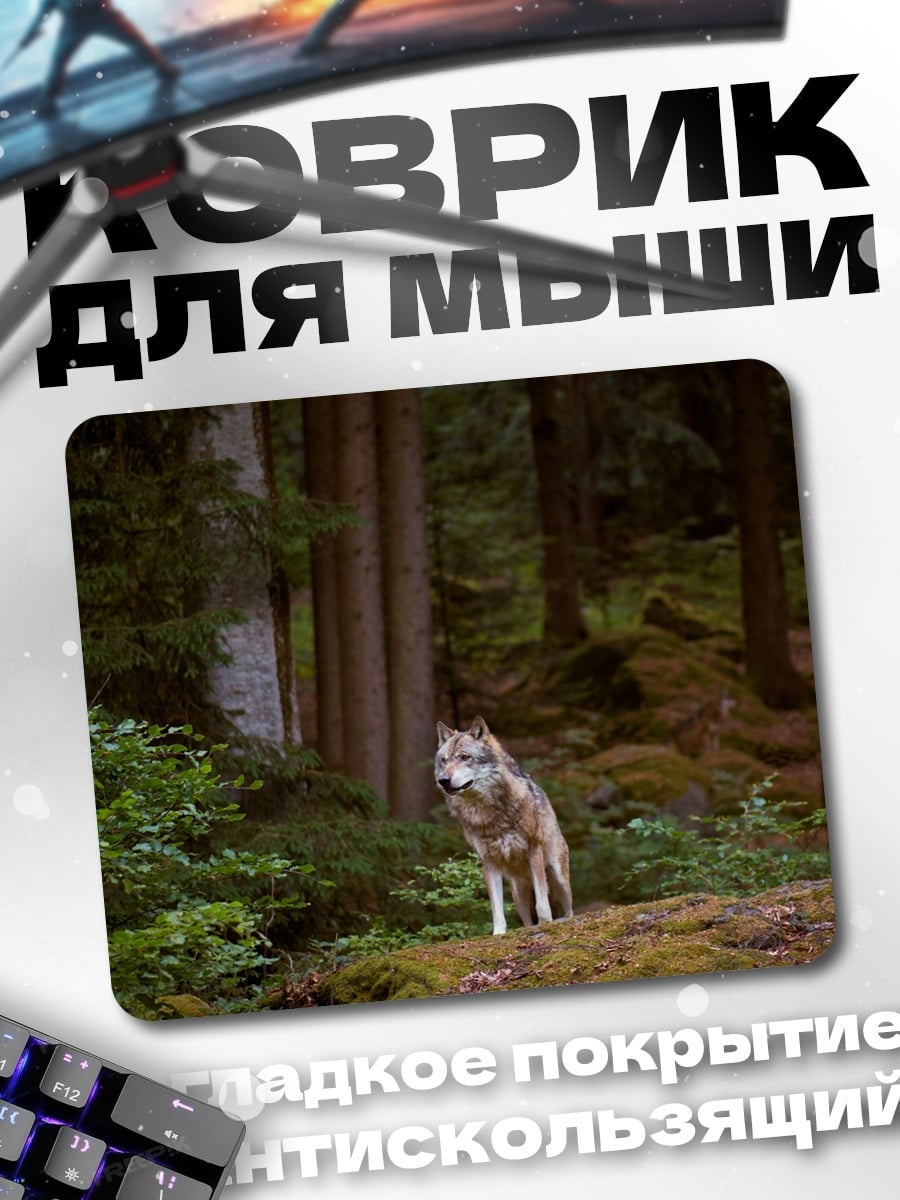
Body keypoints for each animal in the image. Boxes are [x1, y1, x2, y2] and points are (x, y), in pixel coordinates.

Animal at [435, 716, 573, 936]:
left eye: (465, 757)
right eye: (444, 760)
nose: (443, 780)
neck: (488, 813)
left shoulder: (534, 850)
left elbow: (542, 904)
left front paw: (546, 924)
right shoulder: (488, 861)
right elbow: (497, 909)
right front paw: (498, 933)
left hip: (559, 880)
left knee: (569, 910)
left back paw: (561, 920)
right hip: (519, 895)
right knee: (526, 920)